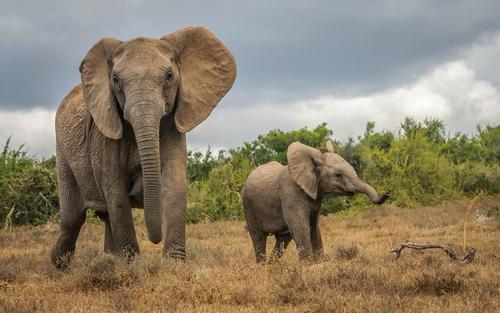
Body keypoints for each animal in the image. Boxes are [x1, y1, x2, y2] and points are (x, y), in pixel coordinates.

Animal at [50, 26, 236, 268]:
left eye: (169, 77)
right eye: (116, 80)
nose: (155, 239)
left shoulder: (173, 126)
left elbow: (174, 186)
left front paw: (174, 266)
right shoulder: (106, 132)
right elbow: (116, 192)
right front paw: (131, 266)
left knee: (102, 216)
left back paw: (110, 258)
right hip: (63, 152)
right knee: (73, 216)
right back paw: (60, 265)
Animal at [240, 140, 388, 260]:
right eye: (338, 175)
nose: (386, 194)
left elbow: (314, 226)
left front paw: (319, 262)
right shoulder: (290, 194)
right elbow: (301, 226)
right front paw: (308, 265)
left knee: (283, 239)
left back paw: (273, 266)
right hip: (248, 204)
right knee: (259, 238)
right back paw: (263, 266)